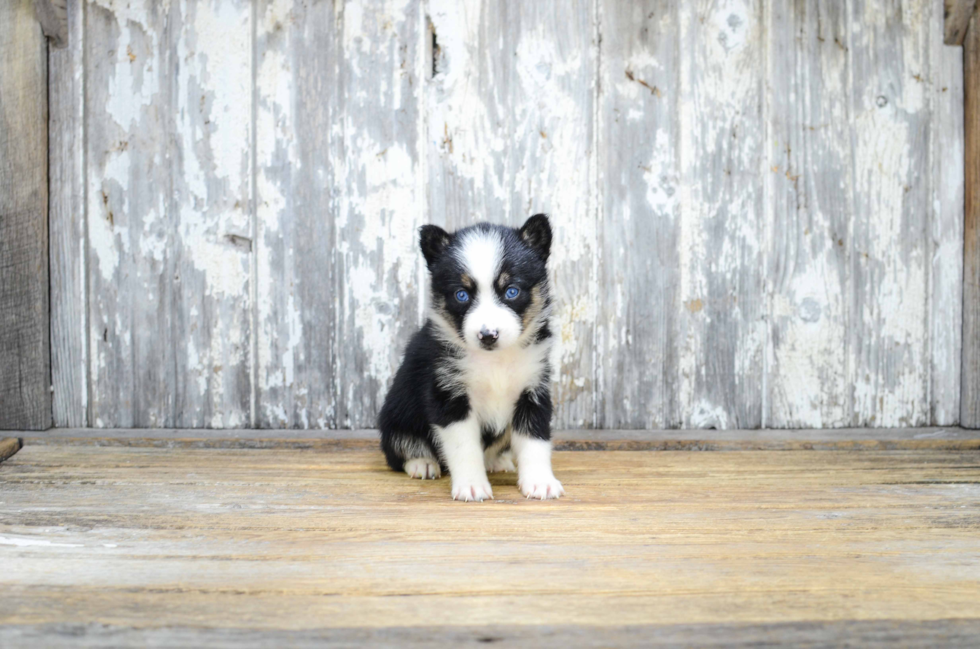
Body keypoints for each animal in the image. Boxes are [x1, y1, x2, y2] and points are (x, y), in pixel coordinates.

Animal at [378, 213, 564, 502]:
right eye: (461, 295)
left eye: (511, 291)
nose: (488, 335)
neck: (494, 361)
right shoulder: (449, 397)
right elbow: (464, 447)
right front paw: (471, 485)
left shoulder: (533, 391)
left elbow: (535, 441)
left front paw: (540, 482)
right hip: (395, 418)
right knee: (400, 449)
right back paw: (422, 463)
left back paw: (497, 461)